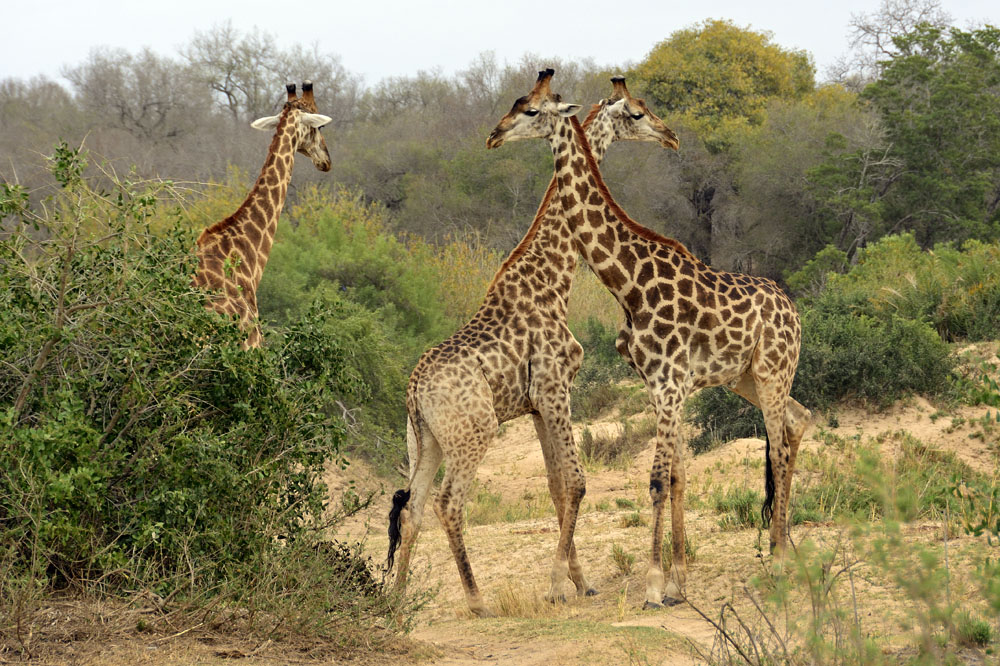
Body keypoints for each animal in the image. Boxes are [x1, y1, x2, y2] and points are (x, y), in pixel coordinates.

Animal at [386, 77, 679, 617]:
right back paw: (478, 601)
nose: (669, 136)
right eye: (637, 112)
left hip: (424, 439)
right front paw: (561, 585)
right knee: (448, 503)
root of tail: (414, 390)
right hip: (473, 431)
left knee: (411, 508)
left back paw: (394, 599)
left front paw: (579, 581)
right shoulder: (555, 388)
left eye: (528, 108)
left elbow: (556, 486)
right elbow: (577, 482)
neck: (556, 276)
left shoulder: (537, 405)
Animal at [486, 69, 812, 609]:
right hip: (745, 378)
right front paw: (676, 583)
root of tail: (794, 310)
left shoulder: (671, 381)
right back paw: (780, 545)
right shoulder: (660, 385)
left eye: (531, 110)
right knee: (797, 421)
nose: (493, 135)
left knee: (780, 446)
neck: (629, 285)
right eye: (516, 104)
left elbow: (660, 480)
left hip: (772, 371)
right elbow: (675, 475)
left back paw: (783, 558)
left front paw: (656, 586)